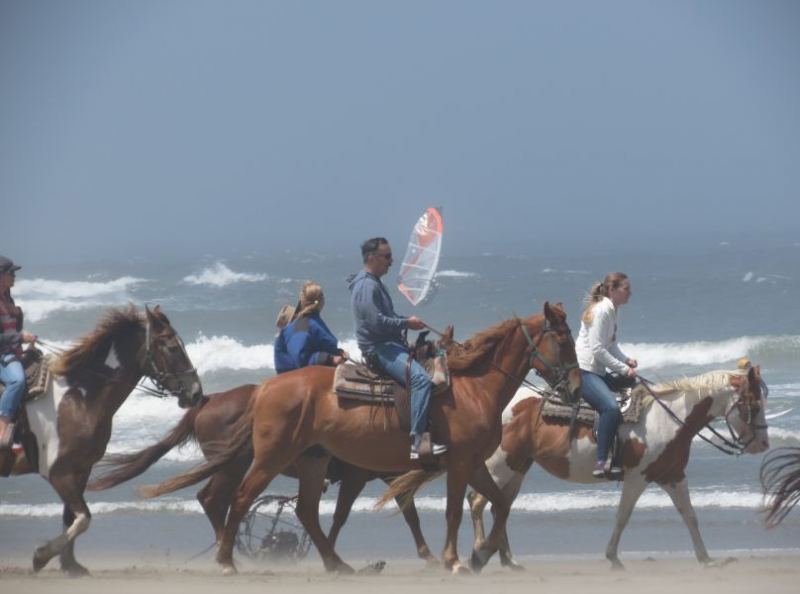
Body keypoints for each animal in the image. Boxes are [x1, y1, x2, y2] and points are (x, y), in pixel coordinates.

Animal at [0, 306, 203, 572]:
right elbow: (84, 518)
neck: (79, 399)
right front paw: (41, 555)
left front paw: (71, 565)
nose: (196, 392)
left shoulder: (80, 470)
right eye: (172, 348)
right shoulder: (58, 473)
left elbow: (71, 518)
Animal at [91, 382, 440, 560]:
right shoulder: (357, 477)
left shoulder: (388, 475)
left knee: (210, 498)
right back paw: (227, 547)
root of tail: (209, 401)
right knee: (215, 499)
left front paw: (426, 553)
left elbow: (409, 513)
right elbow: (342, 516)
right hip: (235, 464)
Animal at [141, 302, 580, 572]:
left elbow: (499, 504)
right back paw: (228, 559)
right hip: (264, 460)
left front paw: (480, 555)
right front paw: (453, 559)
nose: (576, 386)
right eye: (563, 340)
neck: (473, 388)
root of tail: (263, 390)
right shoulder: (453, 464)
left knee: (299, 510)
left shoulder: (468, 465)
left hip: (311, 461)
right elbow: (451, 511)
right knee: (236, 499)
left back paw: (335, 564)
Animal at [468, 366, 768, 568]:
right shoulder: (638, 477)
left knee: (499, 506)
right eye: (752, 404)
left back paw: (508, 560)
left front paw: (706, 559)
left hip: (519, 467)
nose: (763, 443)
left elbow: (690, 516)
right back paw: (481, 551)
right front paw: (613, 558)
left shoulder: (673, 476)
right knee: (478, 501)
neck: (667, 420)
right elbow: (623, 515)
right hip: (501, 465)